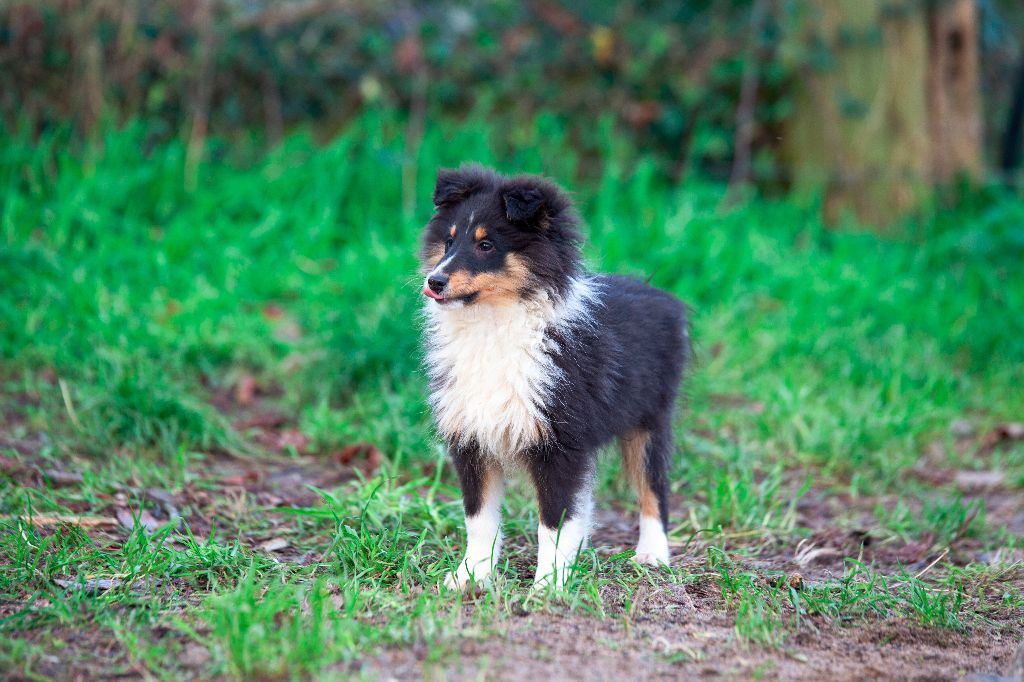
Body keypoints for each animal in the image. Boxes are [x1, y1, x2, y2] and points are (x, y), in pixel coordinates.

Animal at [419, 163, 692, 585]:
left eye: (486, 245)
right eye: (448, 242)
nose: (434, 281)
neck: (493, 322)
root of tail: (665, 297)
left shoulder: (560, 441)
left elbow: (553, 522)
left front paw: (548, 584)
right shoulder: (471, 435)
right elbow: (479, 518)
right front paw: (471, 577)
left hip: (650, 420)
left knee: (654, 489)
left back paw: (652, 554)